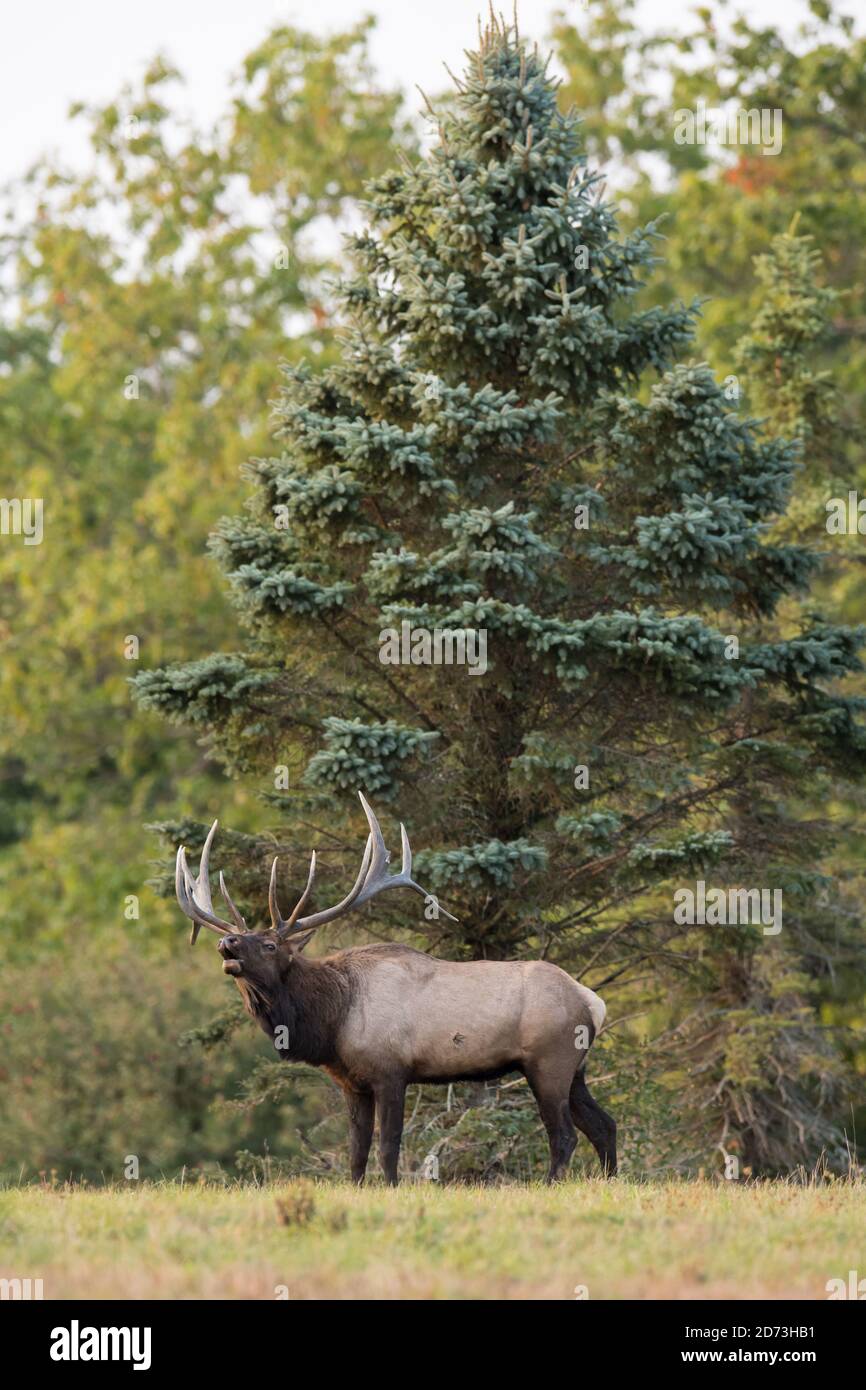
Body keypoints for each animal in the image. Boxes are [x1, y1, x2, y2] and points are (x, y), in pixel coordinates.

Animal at [174, 795, 617, 1184]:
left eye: (269, 945)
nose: (227, 943)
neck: (333, 1018)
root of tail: (593, 1002)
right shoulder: (351, 1082)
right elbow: (356, 1151)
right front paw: (356, 1188)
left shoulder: (391, 1071)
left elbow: (388, 1146)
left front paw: (390, 1187)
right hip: (574, 1068)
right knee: (604, 1125)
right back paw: (611, 1179)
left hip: (549, 1061)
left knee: (565, 1135)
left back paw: (552, 1183)